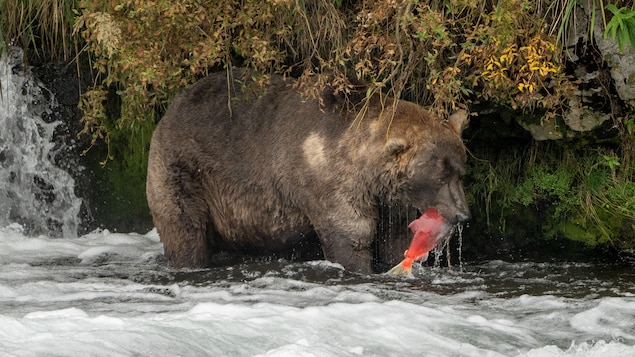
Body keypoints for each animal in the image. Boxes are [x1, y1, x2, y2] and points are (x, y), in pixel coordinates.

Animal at [147, 68, 470, 272]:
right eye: (440, 176)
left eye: (460, 172)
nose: (463, 214)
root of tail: (171, 108)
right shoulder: (330, 181)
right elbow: (351, 236)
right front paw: (360, 266)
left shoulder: (390, 198)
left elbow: (395, 238)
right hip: (185, 171)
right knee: (185, 229)